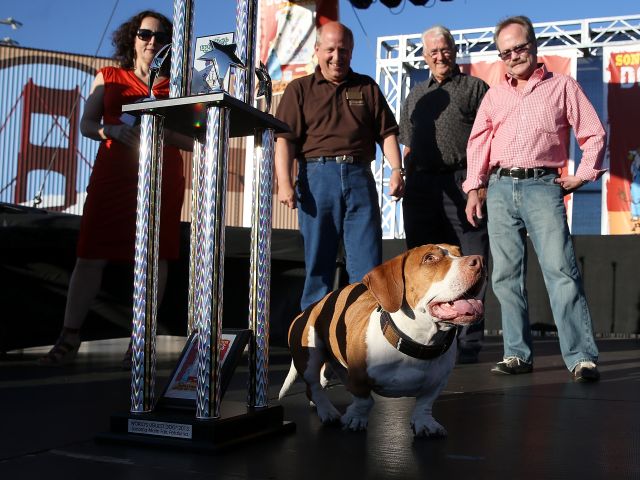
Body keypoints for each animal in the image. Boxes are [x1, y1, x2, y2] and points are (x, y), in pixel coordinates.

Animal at [278, 246, 484, 436]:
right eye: (430, 258)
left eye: (459, 252)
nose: (479, 260)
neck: (418, 342)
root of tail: (314, 305)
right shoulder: (358, 377)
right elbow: (364, 401)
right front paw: (355, 418)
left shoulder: (437, 383)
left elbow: (425, 403)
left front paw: (424, 423)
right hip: (310, 356)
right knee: (312, 386)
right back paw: (327, 411)